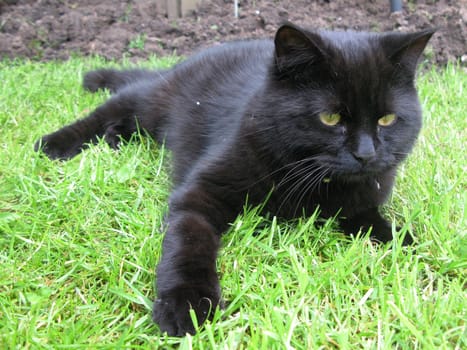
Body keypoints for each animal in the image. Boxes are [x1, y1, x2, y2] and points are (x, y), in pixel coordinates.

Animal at [33, 22, 436, 336]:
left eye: (387, 120)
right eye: (330, 118)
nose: (366, 154)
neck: (314, 182)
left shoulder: (363, 206)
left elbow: (387, 230)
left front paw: (420, 257)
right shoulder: (201, 193)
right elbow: (189, 241)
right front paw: (187, 303)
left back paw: (115, 139)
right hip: (153, 100)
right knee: (112, 106)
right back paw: (55, 142)